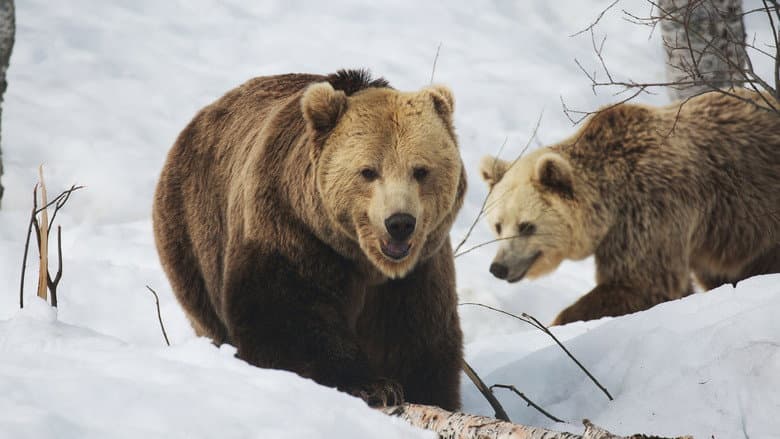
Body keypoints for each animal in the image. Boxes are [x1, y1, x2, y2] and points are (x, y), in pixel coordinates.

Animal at [152, 69, 467, 410]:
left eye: (420, 170)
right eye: (368, 171)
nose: (399, 223)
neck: (365, 262)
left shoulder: (418, 271)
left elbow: (416, 338)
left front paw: (422, 393)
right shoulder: (293, 232)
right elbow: (287, 317)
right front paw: (373, 385)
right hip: (195, 231)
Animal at [479, 88, 780, 325]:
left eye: (526, 226)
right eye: (498, 226)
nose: (498, 267)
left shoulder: (649, 210)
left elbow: (640, 282)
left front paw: (560, 322)